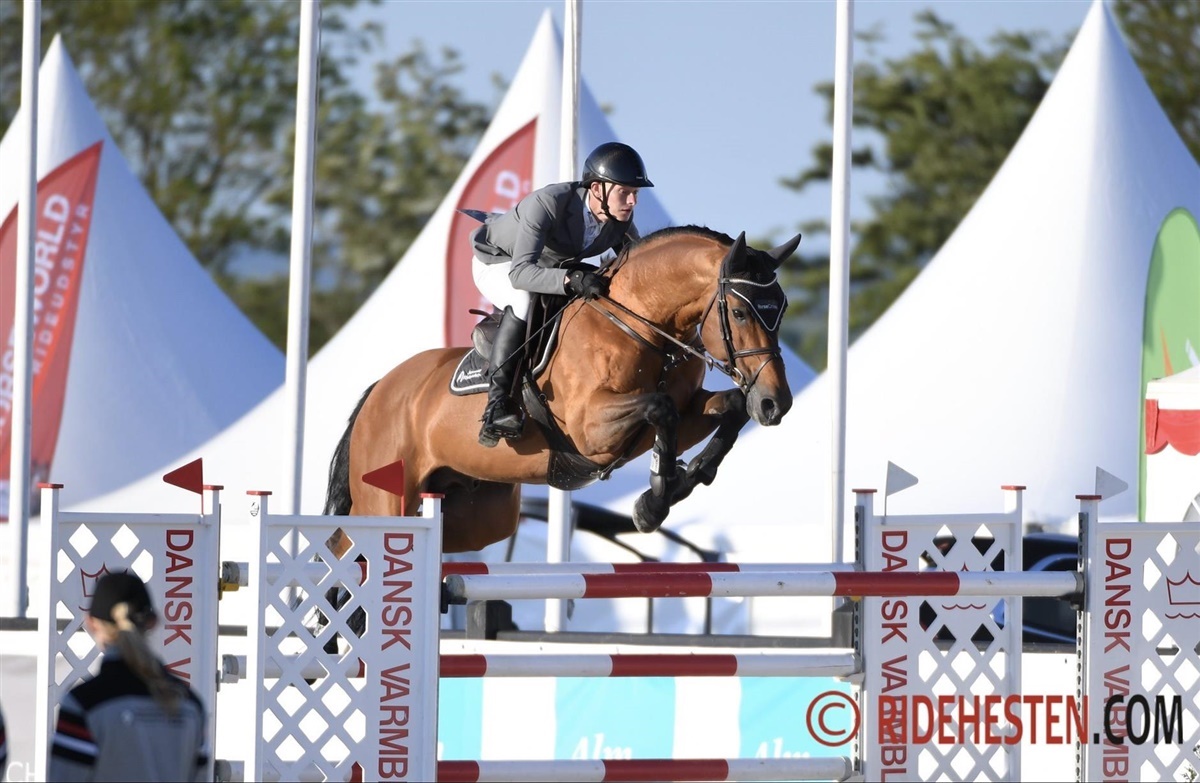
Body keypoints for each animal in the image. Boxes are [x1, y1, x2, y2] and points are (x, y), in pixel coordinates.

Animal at [323, 225, 800, 554]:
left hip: (479, 513)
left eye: (781, 309)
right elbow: (660, 408)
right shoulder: (591, 431)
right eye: (739, 312)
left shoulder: (681, 413)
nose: (776, 404)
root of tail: (381, 389)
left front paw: (685, 479)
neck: (642, 326)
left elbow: (730, 406)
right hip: (386, 501)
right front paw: (654, 502)